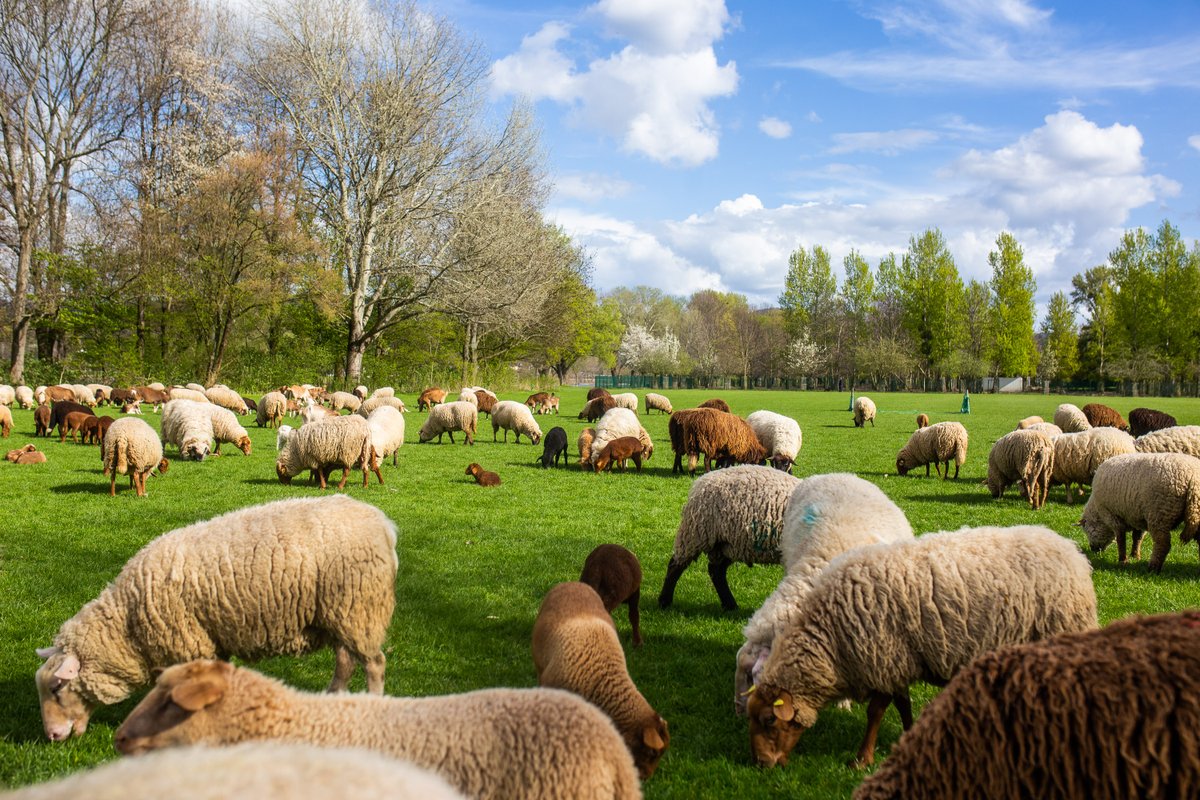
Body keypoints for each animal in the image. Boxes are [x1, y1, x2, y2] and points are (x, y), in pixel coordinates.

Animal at [35, 495, 397, 741]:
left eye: (56, 688)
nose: (52, 737)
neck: (129, 624)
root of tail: (383, 524)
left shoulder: (187, 645)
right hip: (340, 614)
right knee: (345, 660)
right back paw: (334, 697)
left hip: (360, 607)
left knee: (374, 663)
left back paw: (374, 703)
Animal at [658, 465, 801, 610]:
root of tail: (700, 482)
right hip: (696, 534)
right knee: (675, 565)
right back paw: (664, 601)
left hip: (729, 544)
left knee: (716, 571)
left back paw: (729, 605)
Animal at [747, 525, 1098, 768]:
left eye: (769, 720)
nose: (761, 764)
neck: (831, 640)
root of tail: (1072, 551)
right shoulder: (899, 661)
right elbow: (903, 705)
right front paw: (909, 735)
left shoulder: (884, 658)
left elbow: (875, 712)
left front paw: (862, 759)